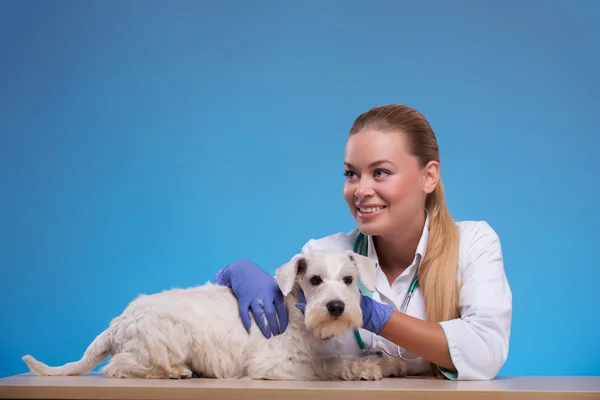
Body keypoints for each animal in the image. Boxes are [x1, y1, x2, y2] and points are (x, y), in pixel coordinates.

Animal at [23, 250, 408, 382]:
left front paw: (388, 364)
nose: (336, 307)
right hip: (167, 338)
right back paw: (174, 372)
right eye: (314, 280)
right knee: (116, 368)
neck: (298, 312)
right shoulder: (277, 365)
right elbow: (330, 365)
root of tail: (116, 324)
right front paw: (362, 369)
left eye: (348, 279)